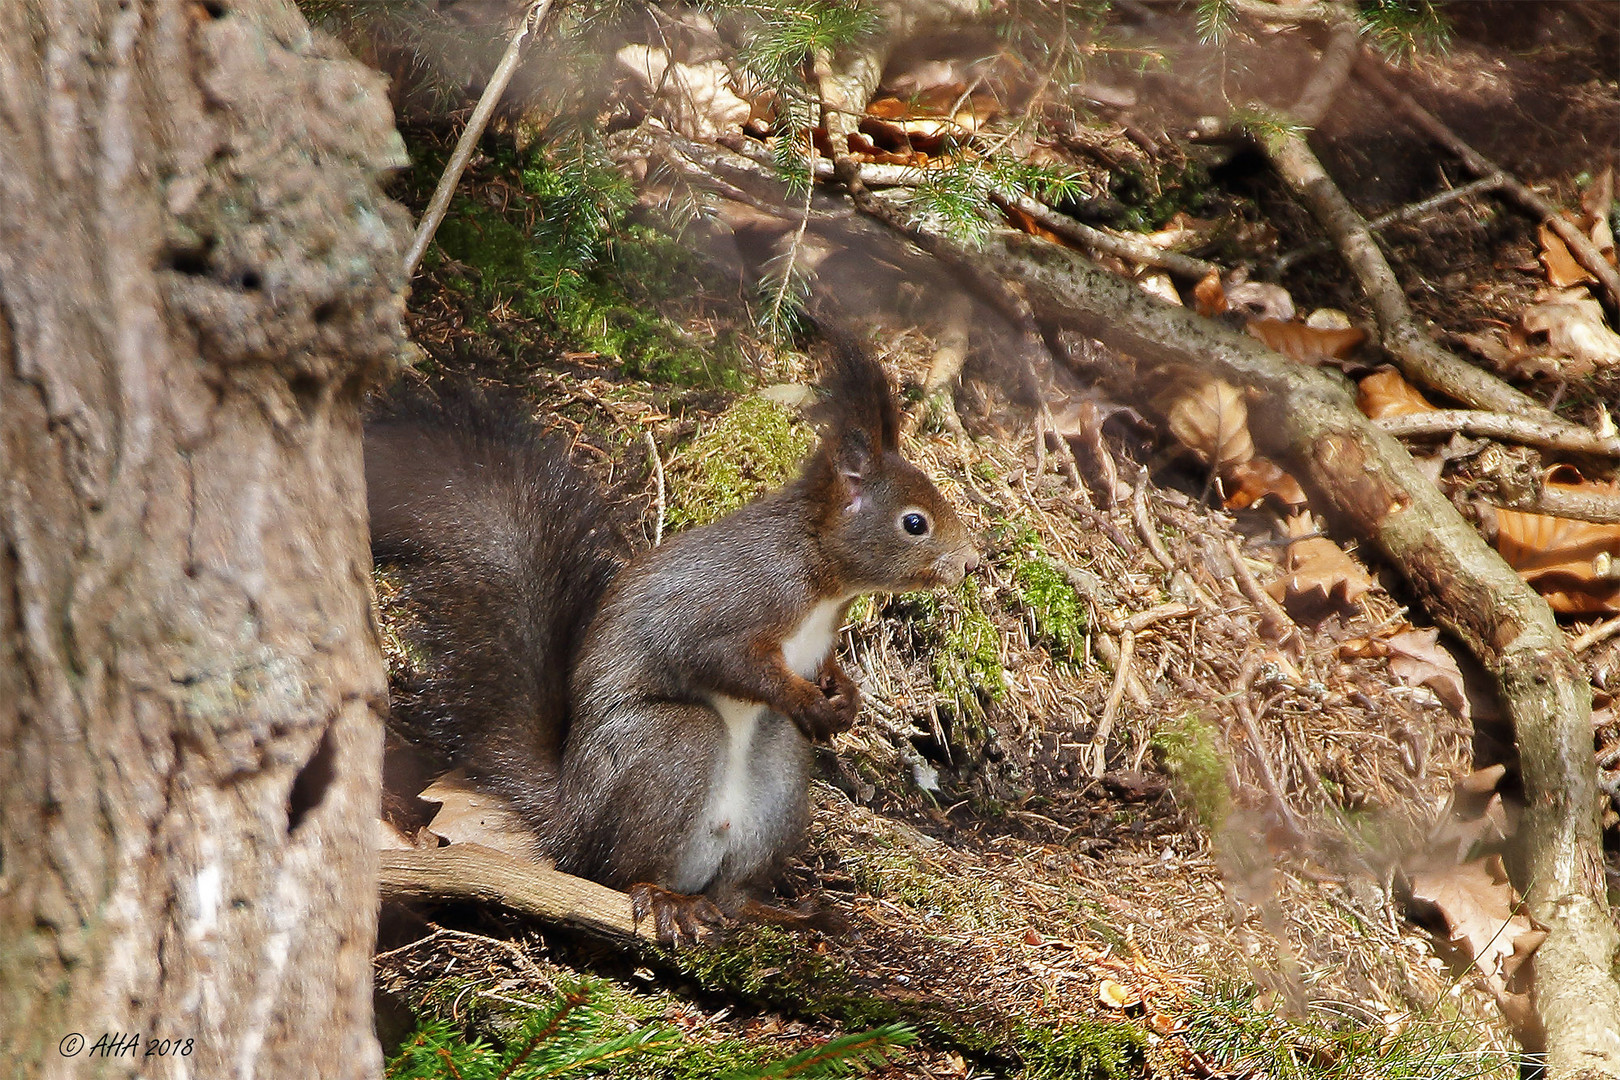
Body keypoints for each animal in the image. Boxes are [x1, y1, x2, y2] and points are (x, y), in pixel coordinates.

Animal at [367, 346, 972, 939]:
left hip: (772, 775)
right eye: (914, 523)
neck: (822, 573)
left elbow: (826, 665)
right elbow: (726, 660)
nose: (969, 563)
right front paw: (808, 700)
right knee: (622, 870)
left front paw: (846, 698)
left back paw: (773, 910)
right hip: (668, 746)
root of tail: (570, 818)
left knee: (732, 889)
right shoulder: (737, 603)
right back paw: (662, 897)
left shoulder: (820, 638)